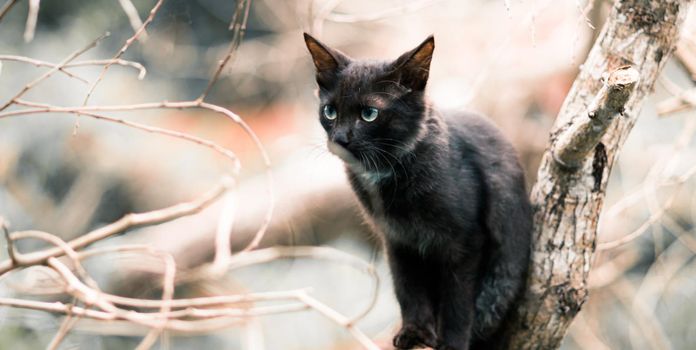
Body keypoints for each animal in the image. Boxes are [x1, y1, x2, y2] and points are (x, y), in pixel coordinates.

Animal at [304, 33, 532, 350]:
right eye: (330, 111)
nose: (339, 138)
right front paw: (415, 332)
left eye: (369, 114)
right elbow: (408, 290)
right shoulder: (398, 242)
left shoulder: (466, 241)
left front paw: (452, 342)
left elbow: (458, 301)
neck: (389, 176)